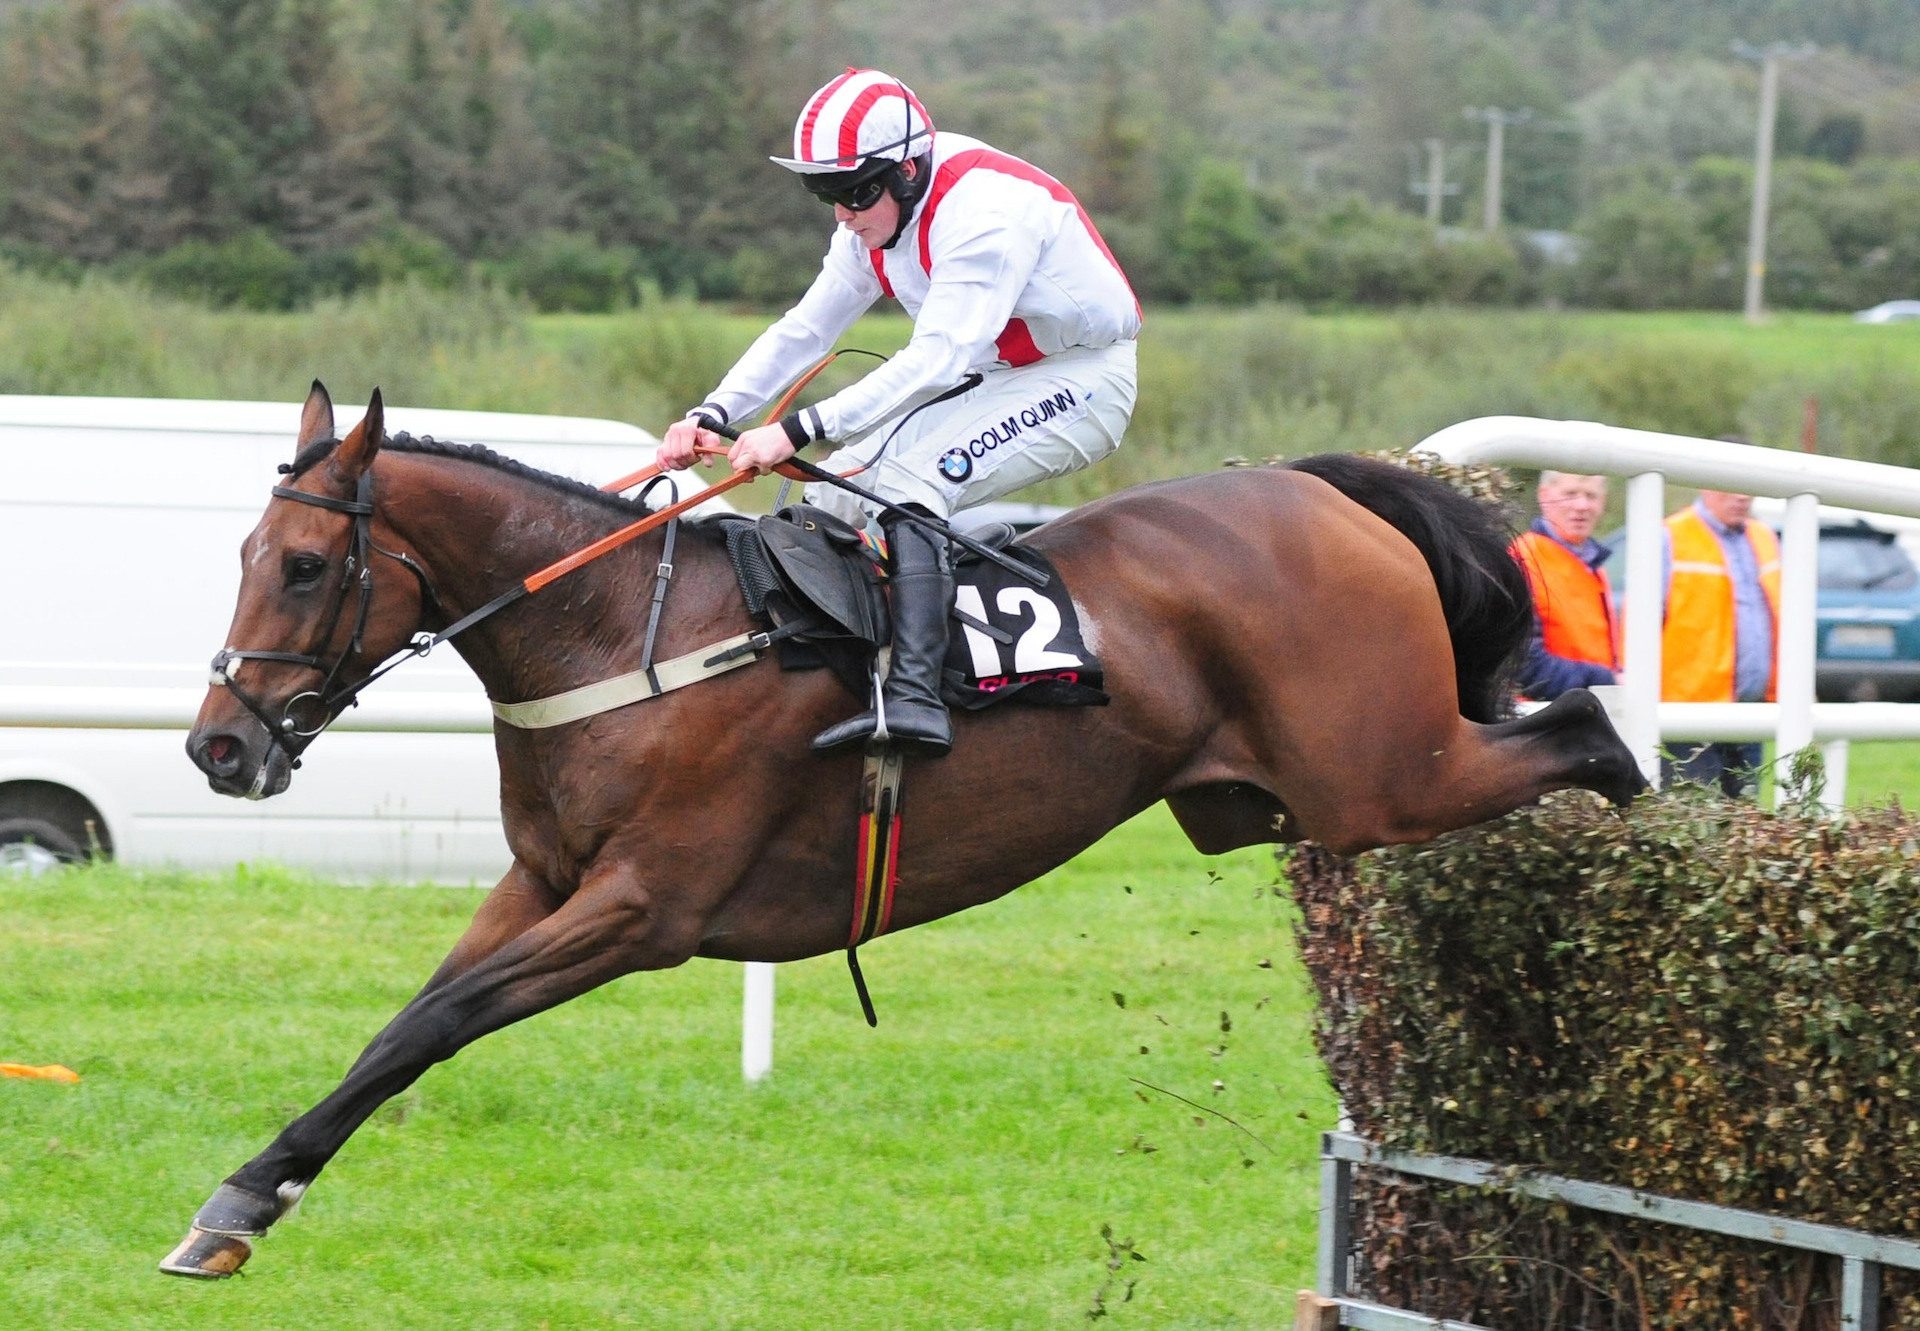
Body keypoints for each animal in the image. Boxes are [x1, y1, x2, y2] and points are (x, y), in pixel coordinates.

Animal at [157, 384, 1643, 1275]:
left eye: (305, 564)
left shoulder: (644, 907)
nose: (219, 745)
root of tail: (1327, 488)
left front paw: (243, 1195)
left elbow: (442, 1016)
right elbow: (403, 1025)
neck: (618, 634)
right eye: (239, 554)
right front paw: (244, 1198)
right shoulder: (543, 881)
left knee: (1587, 733)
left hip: (1381, 773)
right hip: (1288, 794)